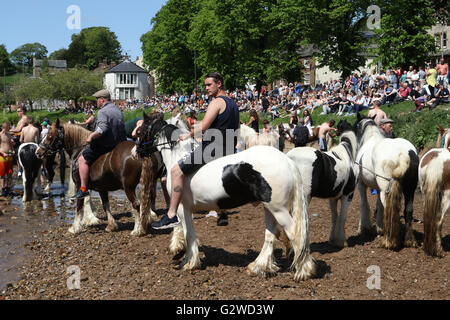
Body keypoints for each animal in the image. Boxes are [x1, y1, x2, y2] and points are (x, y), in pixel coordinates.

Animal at [134, 114, 316, 282]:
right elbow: (186, 232)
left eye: (141, 130)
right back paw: (258, 266)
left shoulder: (180, 208)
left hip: (280, 210)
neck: (177, 155)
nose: (135, 151)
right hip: (271, 209)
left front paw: (189, 262)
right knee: (270, 235)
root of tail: (287, 161)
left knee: (295, 234)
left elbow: (189, 234)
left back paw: (304, 271)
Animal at [354, 114, 420, 251]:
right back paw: (409, 240)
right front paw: (379, 228)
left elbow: (364, 204)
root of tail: (403, 153)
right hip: (410, 189)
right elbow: (379, 206)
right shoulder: (378, 188)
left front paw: (363, 229)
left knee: (390, 210)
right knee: (408, 211)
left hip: (387, 189)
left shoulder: (360, 185)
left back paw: (389, 241)